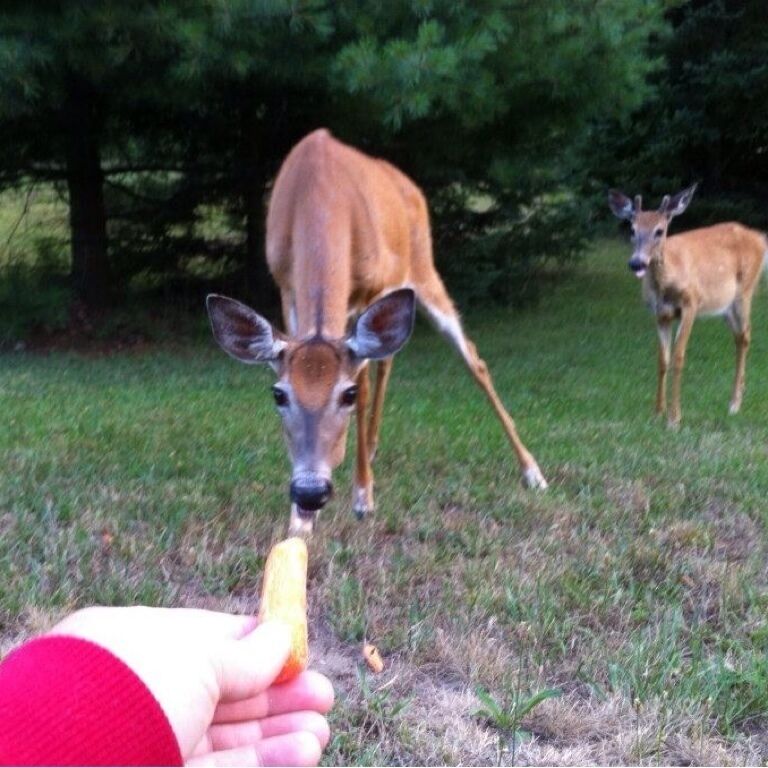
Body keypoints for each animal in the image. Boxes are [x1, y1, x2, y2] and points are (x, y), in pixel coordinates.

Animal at [207, 129, 547, 534]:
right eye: (278, 394)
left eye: (347, 395)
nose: (310, 491)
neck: (319, 194)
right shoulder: (285, 286)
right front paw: (300, 520)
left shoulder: (367, 292)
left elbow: (365, 381)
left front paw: (363, 497)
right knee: (389, 359)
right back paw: (369, 446)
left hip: (423, 270)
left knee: (472, 360)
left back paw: (532, 471)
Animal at [609, 184, 767, 427]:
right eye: (632, 230)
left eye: (659, 231)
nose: (636, 263)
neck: (666, 282)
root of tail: (760, 237)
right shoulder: (660, 314)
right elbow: (662, 359)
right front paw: (657, 413)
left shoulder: (691, 303)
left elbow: (678, 356)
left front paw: (674, 418)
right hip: (724, 306)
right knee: (740, 336)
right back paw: (738, 396)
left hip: (744, 292)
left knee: (746, 334)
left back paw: (734, 403)